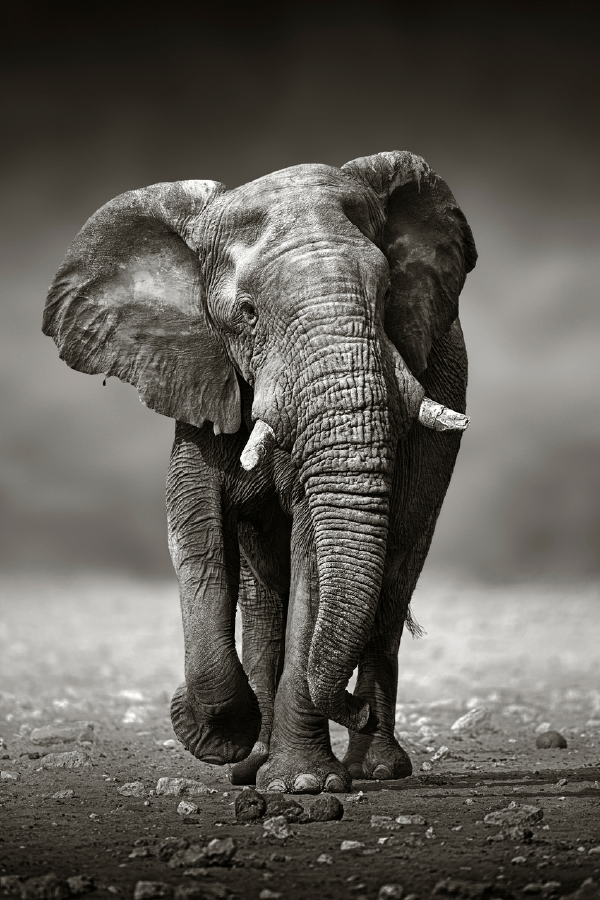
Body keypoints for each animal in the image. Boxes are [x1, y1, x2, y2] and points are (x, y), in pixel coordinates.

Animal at [43, 150, 476, 794]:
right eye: (246, 314)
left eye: (386, 294)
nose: (352, 709)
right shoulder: (200, 376)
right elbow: (195, 534)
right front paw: (220, 738)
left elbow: (313, 551)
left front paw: (305, 784)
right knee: (264, 596)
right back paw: (255, 763)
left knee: (394, 574)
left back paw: (374, 768)